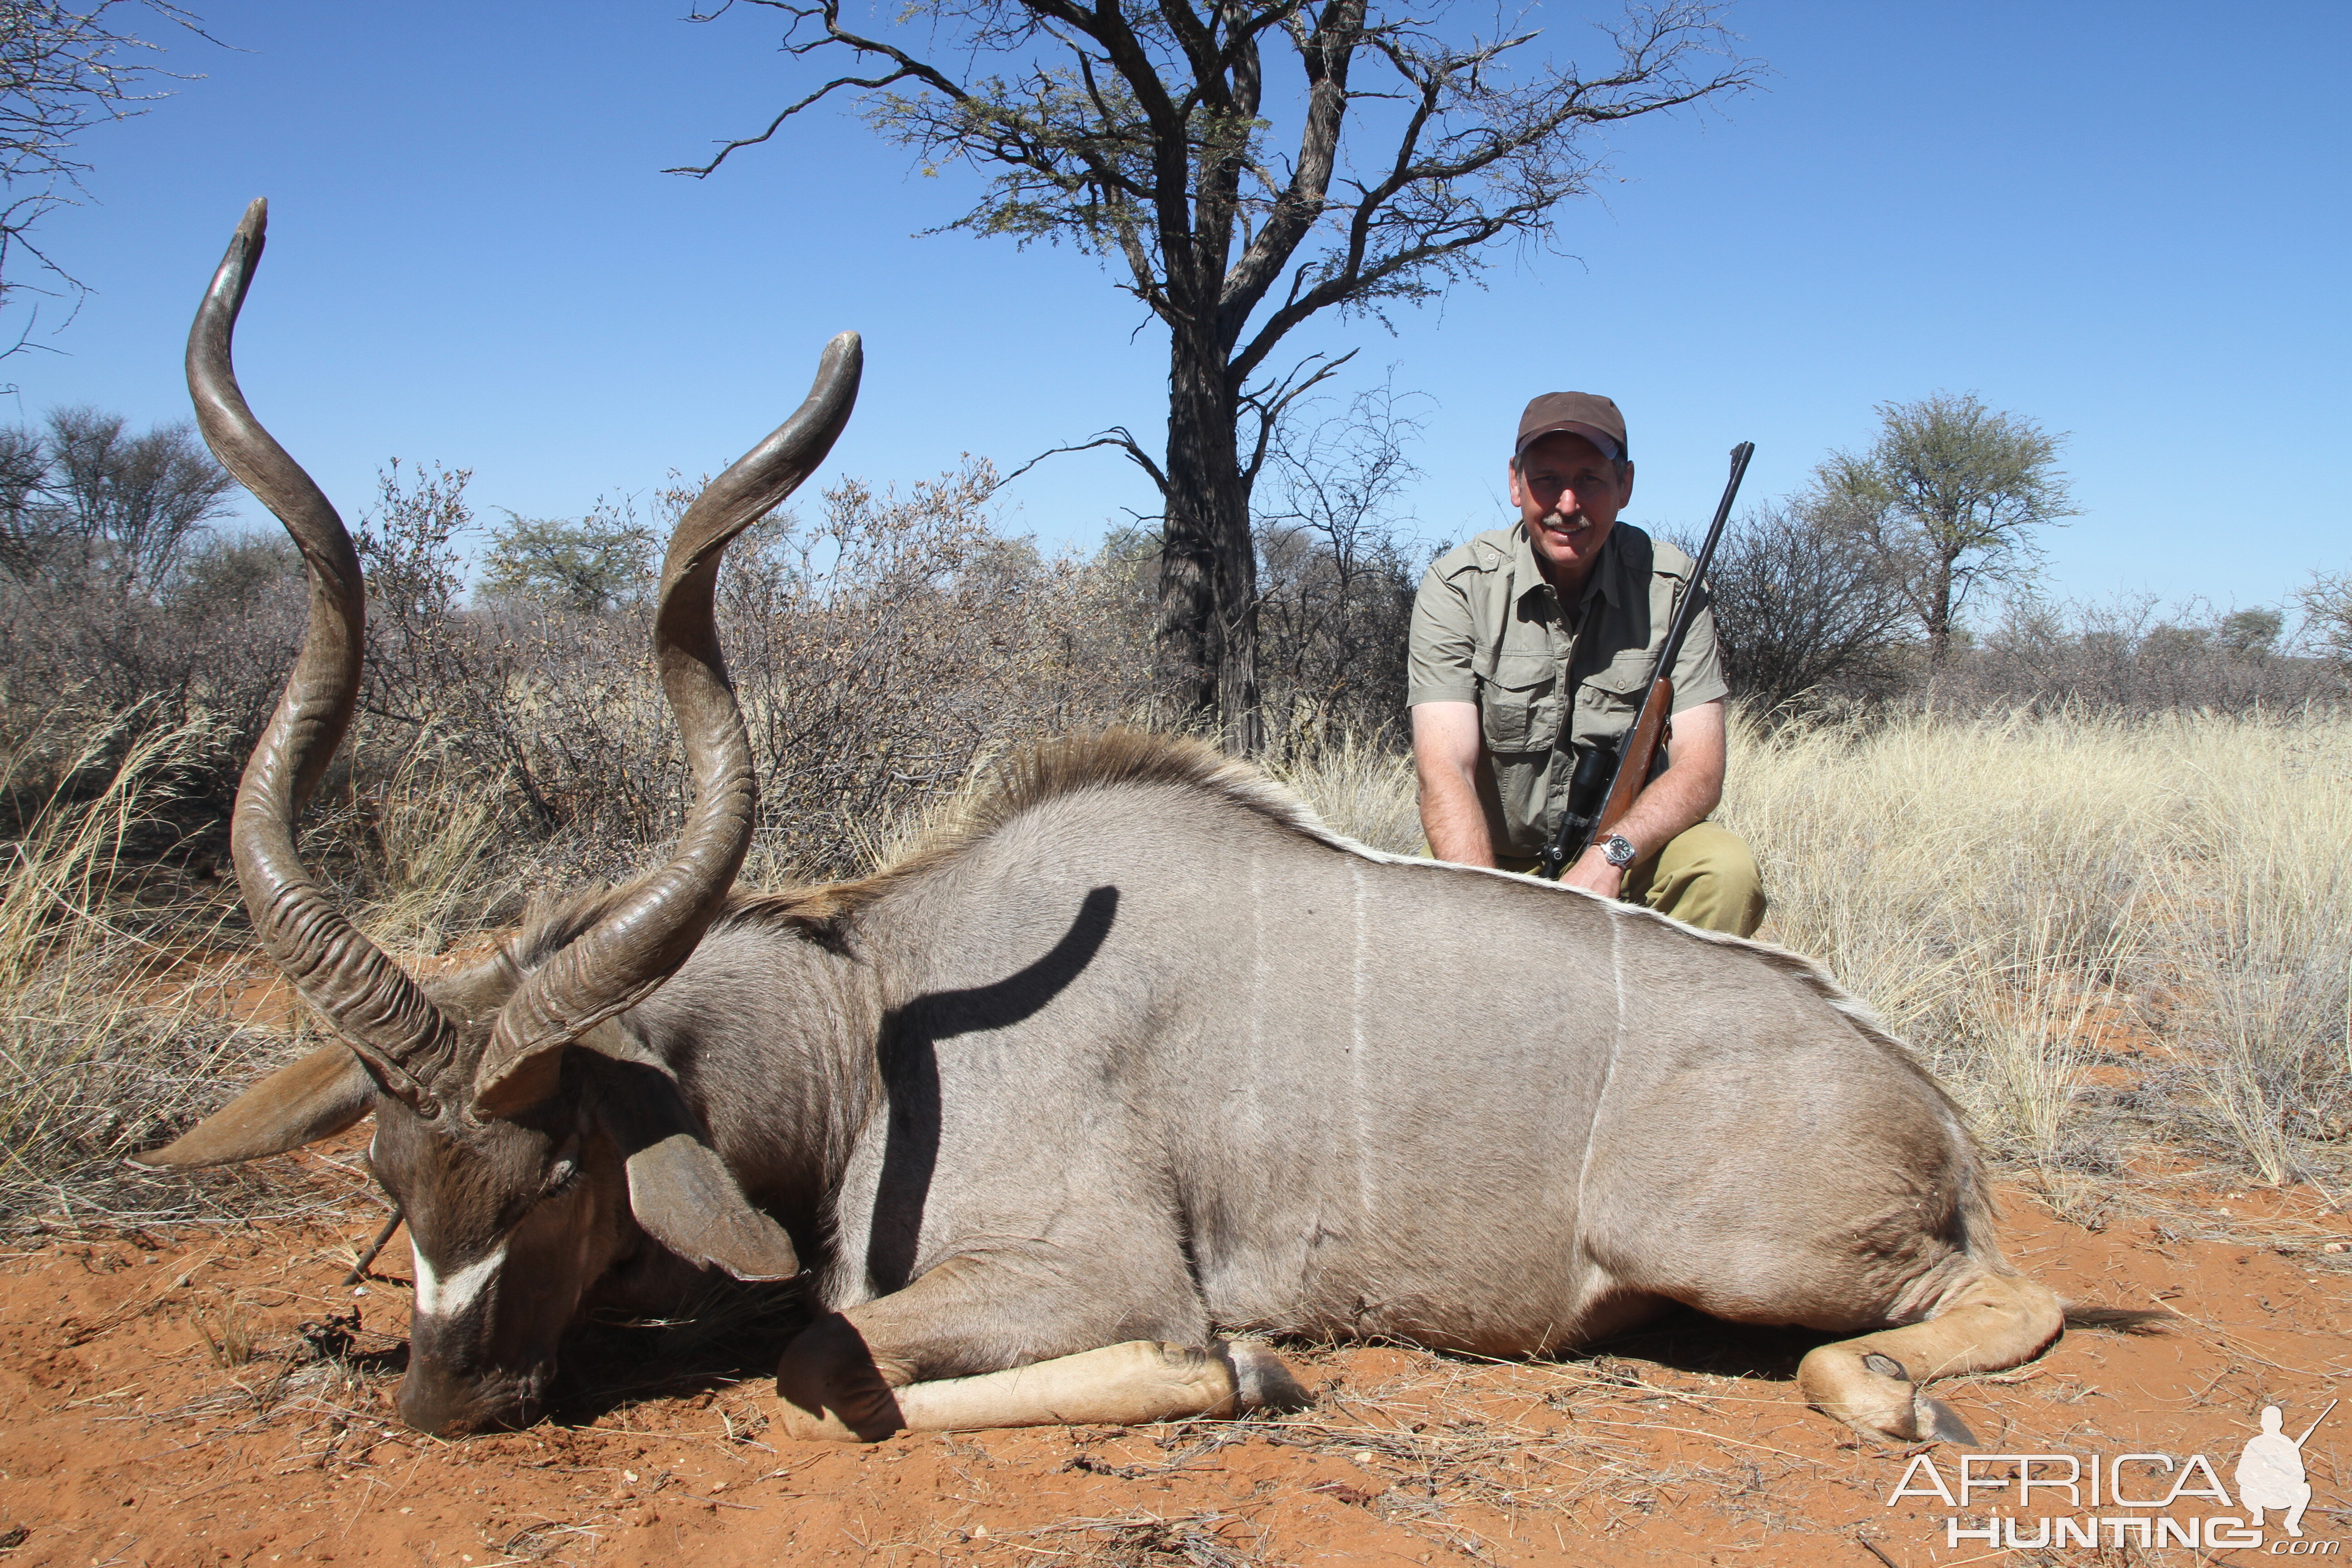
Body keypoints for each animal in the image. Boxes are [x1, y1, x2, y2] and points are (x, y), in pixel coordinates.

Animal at [142, 202, 2060, 1457]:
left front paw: (1247, 1371)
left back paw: (1897, 1397)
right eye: (392, 1176)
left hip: (1724, 1243)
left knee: (1986, 1302)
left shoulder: (1083, 1268)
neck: (875, 1013)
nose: (445, 1400)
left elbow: (833, 1354)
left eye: (552, 1180)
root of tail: (1931, 1112)